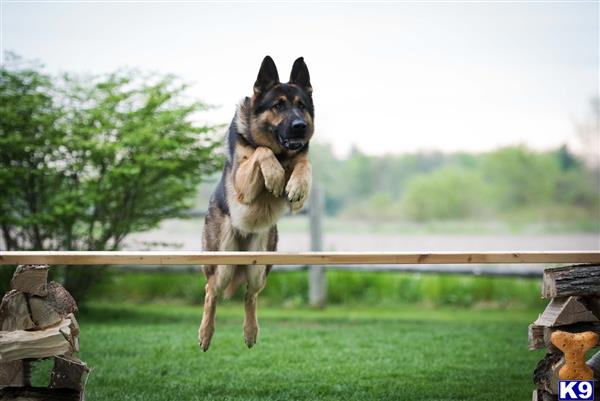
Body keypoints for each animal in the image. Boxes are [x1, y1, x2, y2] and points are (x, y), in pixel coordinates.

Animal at [199, 56, 316, 350]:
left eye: (301, 106)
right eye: (278, 105)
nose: (300, 126)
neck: (282, 153)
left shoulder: (300, 164)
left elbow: (304, 163)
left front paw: (297, 186)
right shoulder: (243, 187)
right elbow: (260, 151)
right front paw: (273, 175)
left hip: (259, 266)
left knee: (250, 296)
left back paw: (250, 332)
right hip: (222, 264)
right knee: (211, 291)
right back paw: (205, 333)